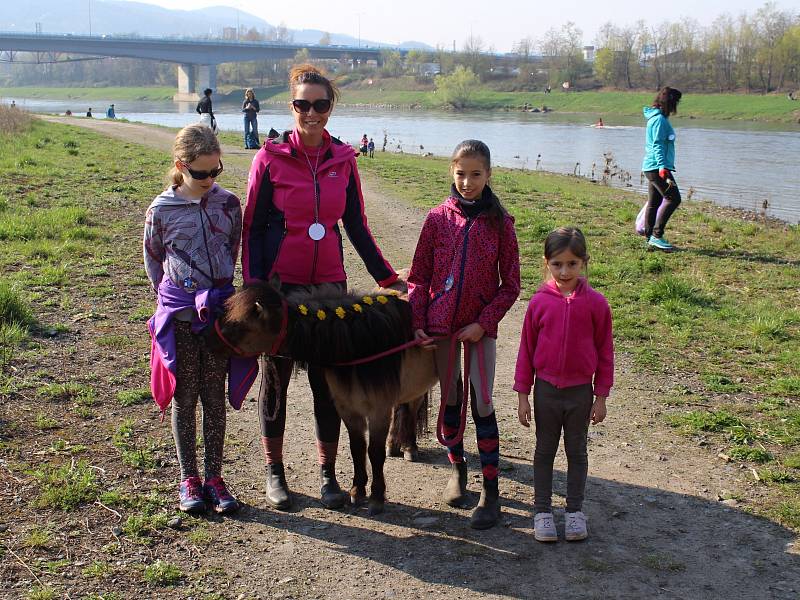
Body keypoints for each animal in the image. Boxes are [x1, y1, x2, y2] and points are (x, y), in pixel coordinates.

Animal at [206, 278, 438, 512]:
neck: (362, 344)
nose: (205, 338)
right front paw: (357, 491)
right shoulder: (348, 408)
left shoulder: (378, 411)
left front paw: (376, 497)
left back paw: (409, 446)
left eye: (238, 325)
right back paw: (395, 444)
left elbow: (374, 452)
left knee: (411, 410)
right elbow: (357, 448)